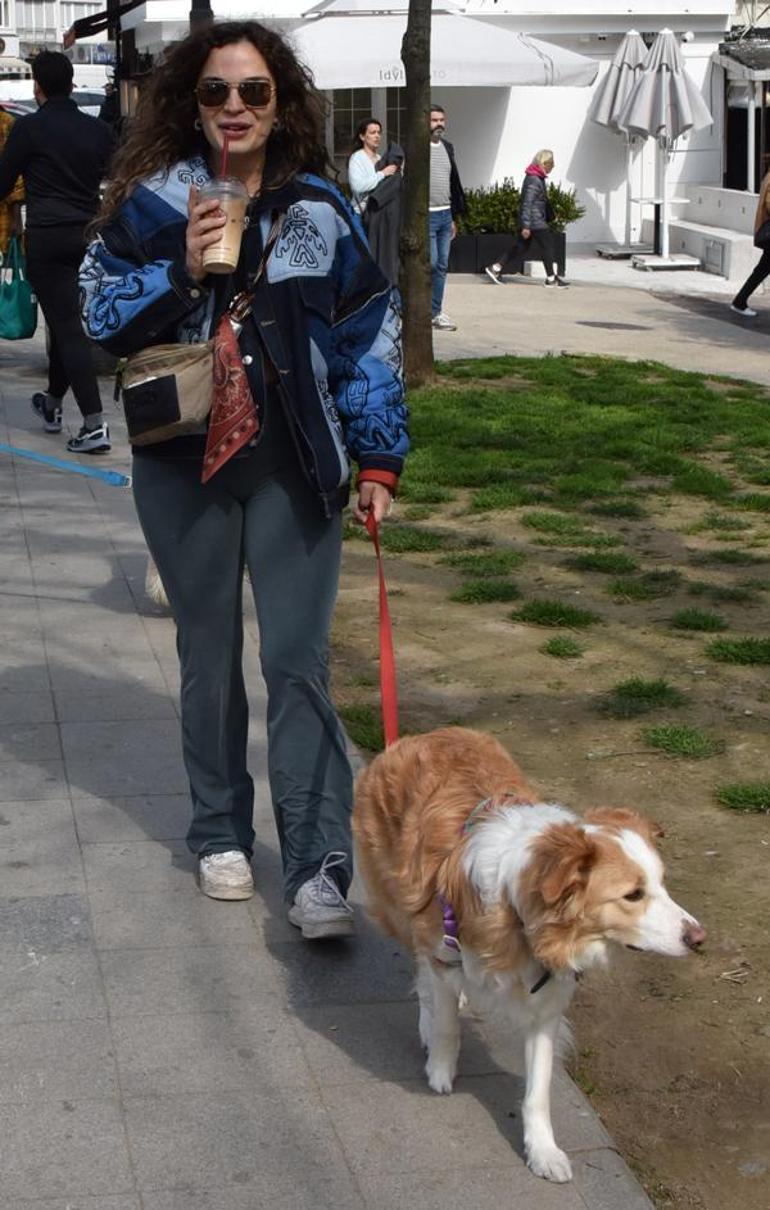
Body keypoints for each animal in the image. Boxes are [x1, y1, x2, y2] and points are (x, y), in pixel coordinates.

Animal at [353, 726, 702, 1180]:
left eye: (662, 884)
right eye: (633, 895)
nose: (698, 937)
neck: (520, 913)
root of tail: (424, 734)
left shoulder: (548, 999)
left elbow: (538, 1089)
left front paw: (543, 1151)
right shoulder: (442, 949)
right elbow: (445, 1019)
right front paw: (441, 1068)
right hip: (399, 903)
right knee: (419, 969)